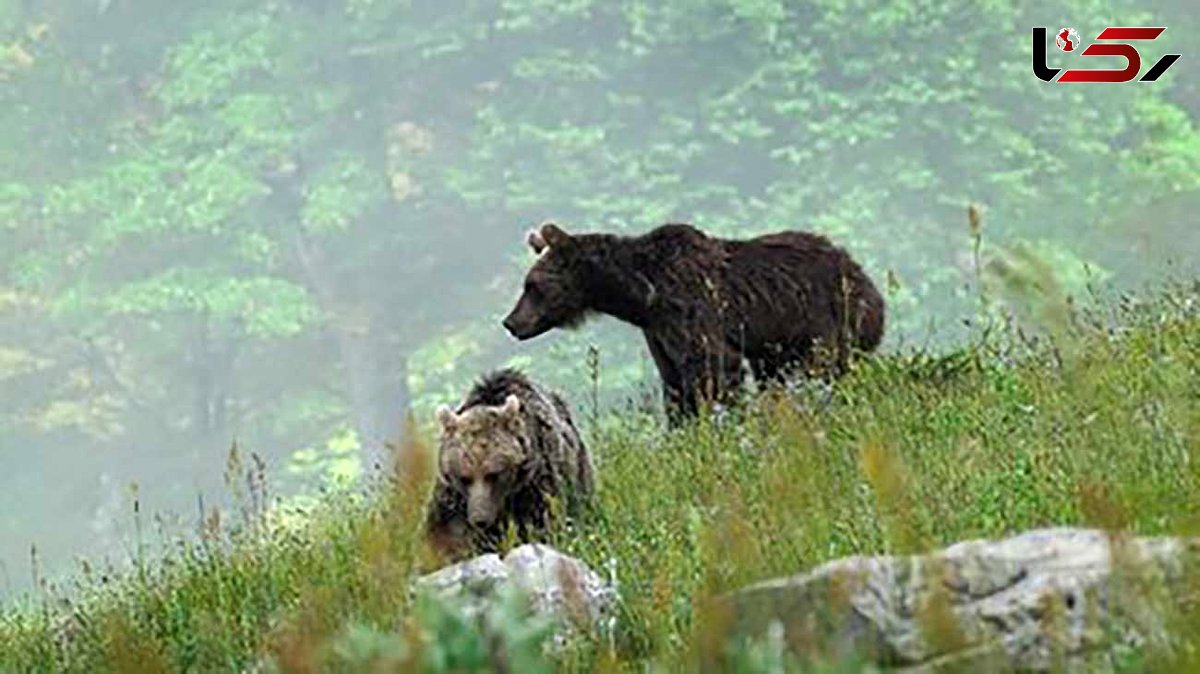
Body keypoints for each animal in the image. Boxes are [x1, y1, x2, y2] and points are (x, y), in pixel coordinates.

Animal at [424, 366, 592, 556]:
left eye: (493, 474)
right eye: (464, 478)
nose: (480, 519)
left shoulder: (537, 481)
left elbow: (543, 521)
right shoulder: (452, 496)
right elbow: (445, 531)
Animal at [501, 220, 888, 419]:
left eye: (532, 285)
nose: (511, 322)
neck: (644, 293)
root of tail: (862, 273)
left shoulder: (690, 309)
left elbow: (714, 367)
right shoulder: (658, 332)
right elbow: (674, 382)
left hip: (827, 318)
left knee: (830, 366)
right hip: (777, 344)